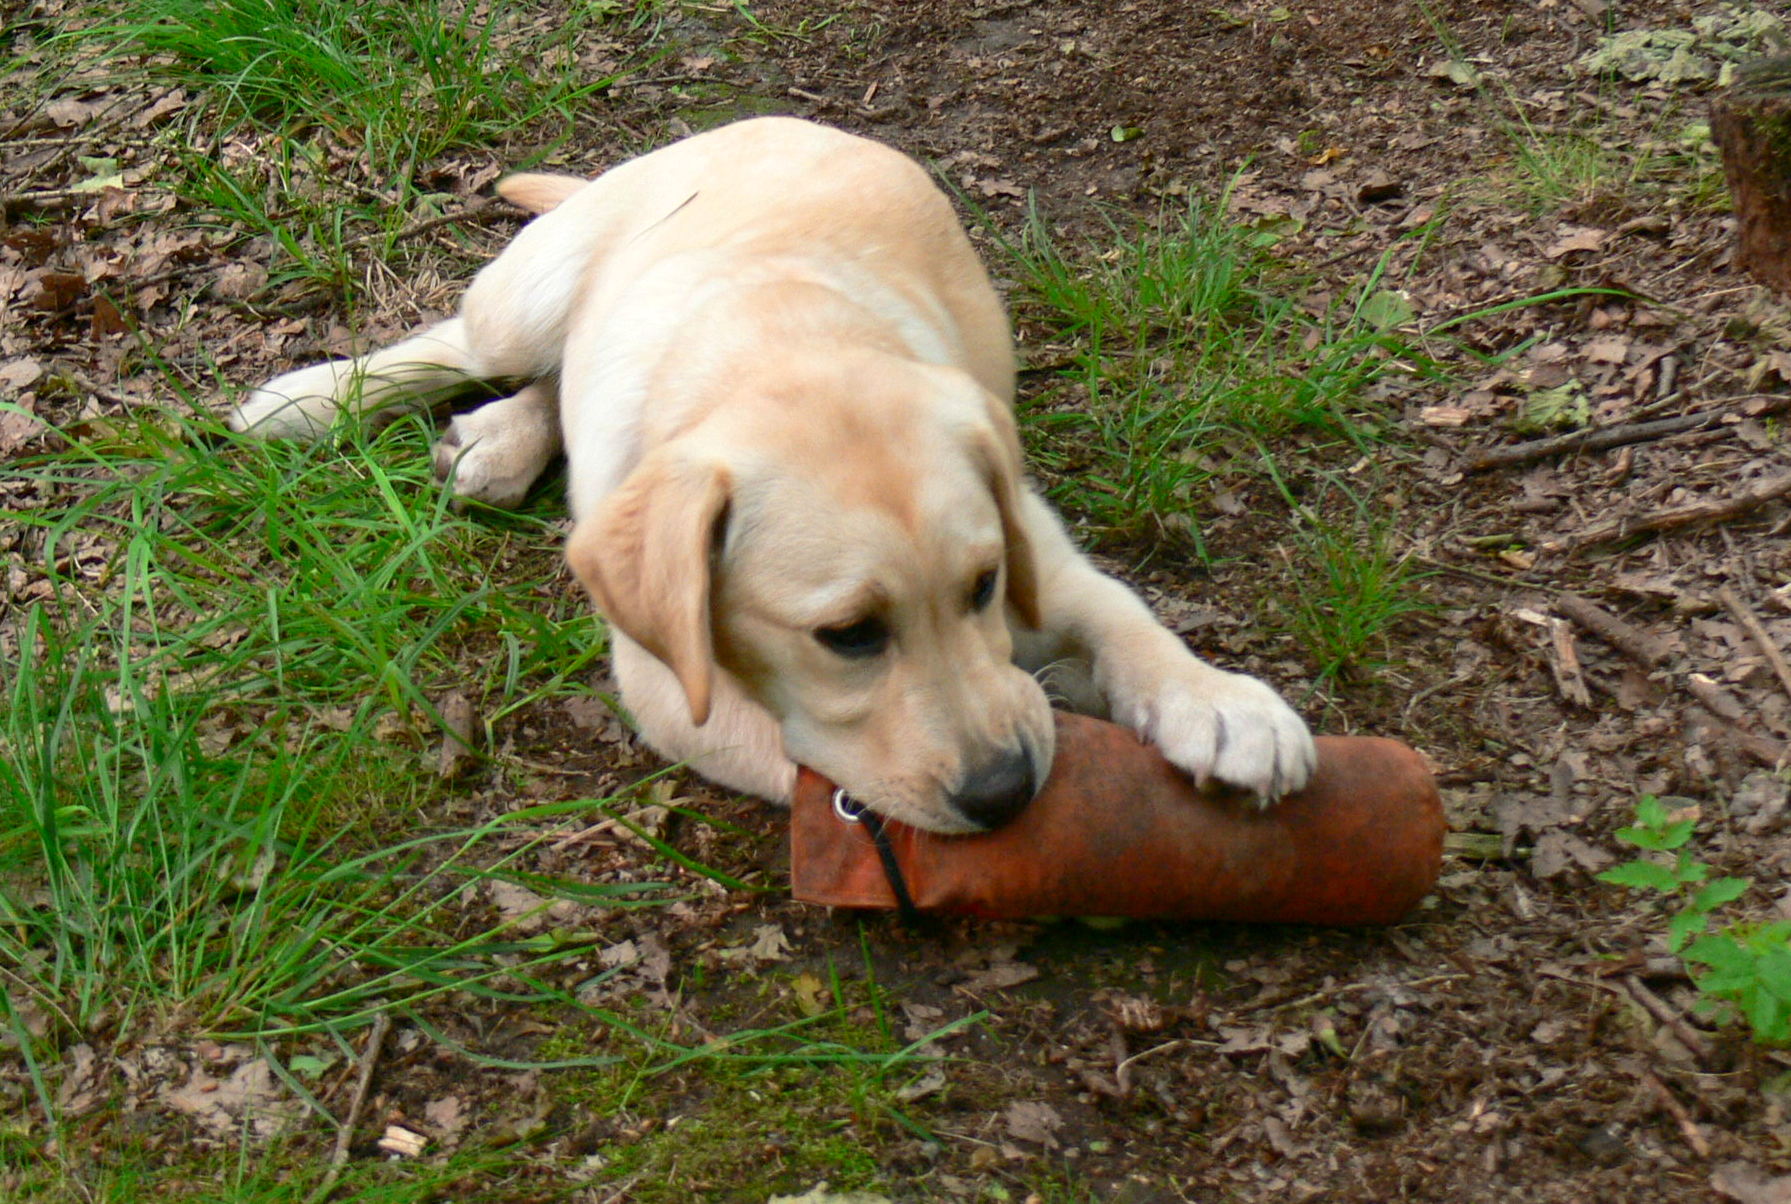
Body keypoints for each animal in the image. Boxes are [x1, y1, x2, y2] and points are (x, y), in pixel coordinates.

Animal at [231, 117, 1311, 831]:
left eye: (983, 585)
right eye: (847, 636)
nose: (1005, 794)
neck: (787, 342)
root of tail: (759, 121)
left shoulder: (1038, 551)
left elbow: (1121, 613)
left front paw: (1221, 703)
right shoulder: (665, 685)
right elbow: (793, 757)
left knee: (550, 375)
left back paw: (499, 439)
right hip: (527, 292)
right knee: (462, 343)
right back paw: (311, 398)